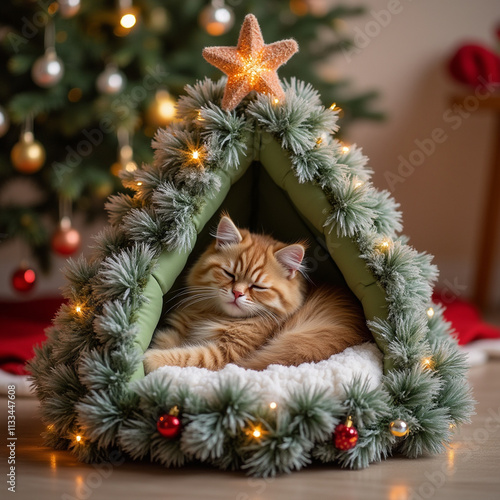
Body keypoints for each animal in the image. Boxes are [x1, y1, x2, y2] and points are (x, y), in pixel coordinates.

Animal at [143, 215, 370, 372]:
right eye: (229, 274)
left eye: (258, 287)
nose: (237, 293)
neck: (212, 315)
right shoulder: (178, 328)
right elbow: (167, 340)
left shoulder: (225, 354)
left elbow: (185, 356)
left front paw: (148, 358)